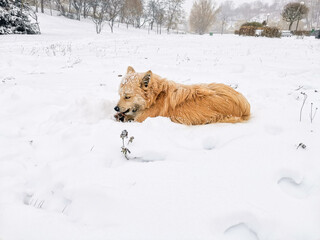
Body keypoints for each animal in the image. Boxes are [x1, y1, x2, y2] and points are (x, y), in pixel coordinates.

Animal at [114, 66, 251, 125]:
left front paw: (122, 117)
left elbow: (132, 118)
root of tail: (245, 106)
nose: (115, 108)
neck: (155, 97)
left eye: (127, 96)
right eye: (119, 95)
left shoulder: (142, 119)